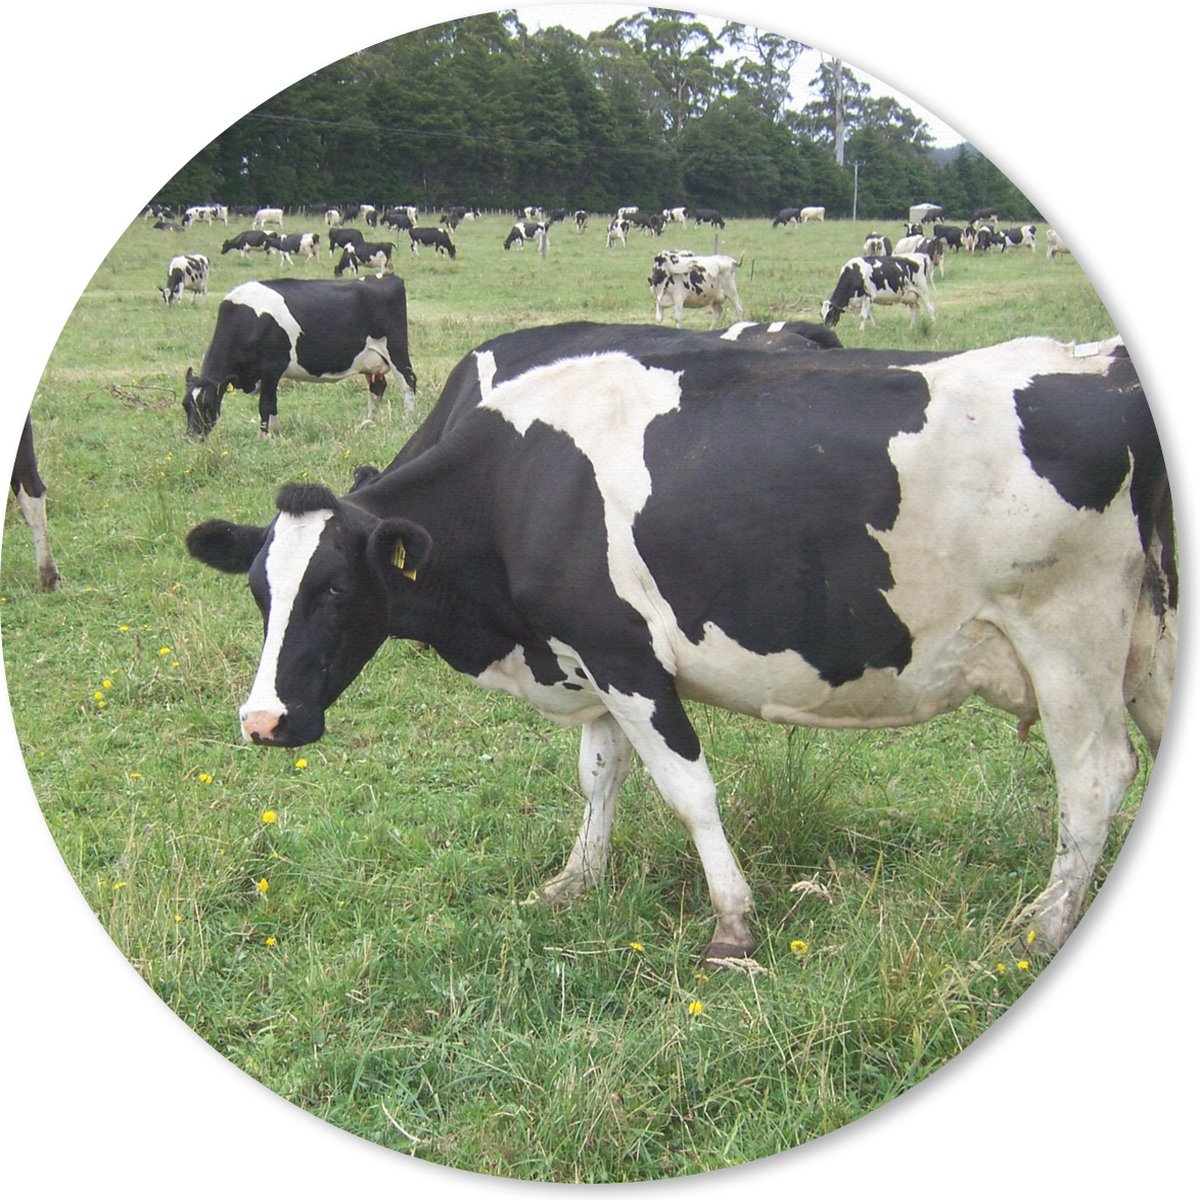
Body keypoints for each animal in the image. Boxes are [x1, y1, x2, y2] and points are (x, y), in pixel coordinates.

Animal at [181, 276, 418, 437]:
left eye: (207, 404)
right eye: (185, 405)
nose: (193, 437)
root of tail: (384, 277)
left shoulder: (272, 366)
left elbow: (265, 403)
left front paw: (264, 437)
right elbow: (272, 404)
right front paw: (276, 433)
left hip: (396, 350)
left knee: (408, 383)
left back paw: (407, 422)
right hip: (371, 361)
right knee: (377, 387)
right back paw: (365, 424)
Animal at [185, 325, 1175, 966]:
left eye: (335, 590)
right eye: (259, 590)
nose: (264, 721)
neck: (522, 486)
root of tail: (1105, 365)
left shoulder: (624, 652)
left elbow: (689, 791)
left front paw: (732, 926)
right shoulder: (585, 653)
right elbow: (598, 777)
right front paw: (575, 882)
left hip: (1068, 633)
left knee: (1095, 778)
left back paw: (1043, 926)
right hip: (1149, 640)